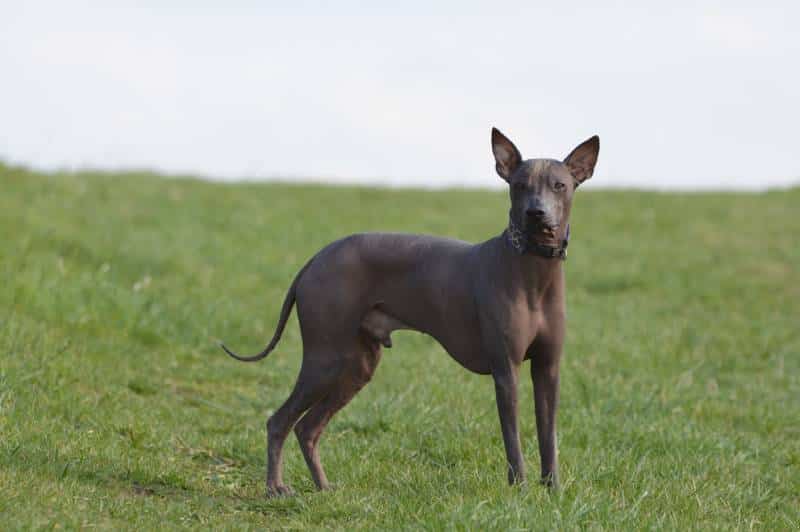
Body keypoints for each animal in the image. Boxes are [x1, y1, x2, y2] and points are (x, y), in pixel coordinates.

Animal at [222, 128, 596, 494]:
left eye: (559, 186)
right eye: (520, 186)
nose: (537, 213)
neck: (533, 274)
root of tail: (316, 258)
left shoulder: (547, 369)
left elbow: (548, 436)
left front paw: (553, 490)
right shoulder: (507, 371)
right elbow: (513, 438)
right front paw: (520, 490)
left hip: (356, 366)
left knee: (307, 428)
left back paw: (324, 488)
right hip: (324, 360)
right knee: (279, 421)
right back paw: (275, 488)